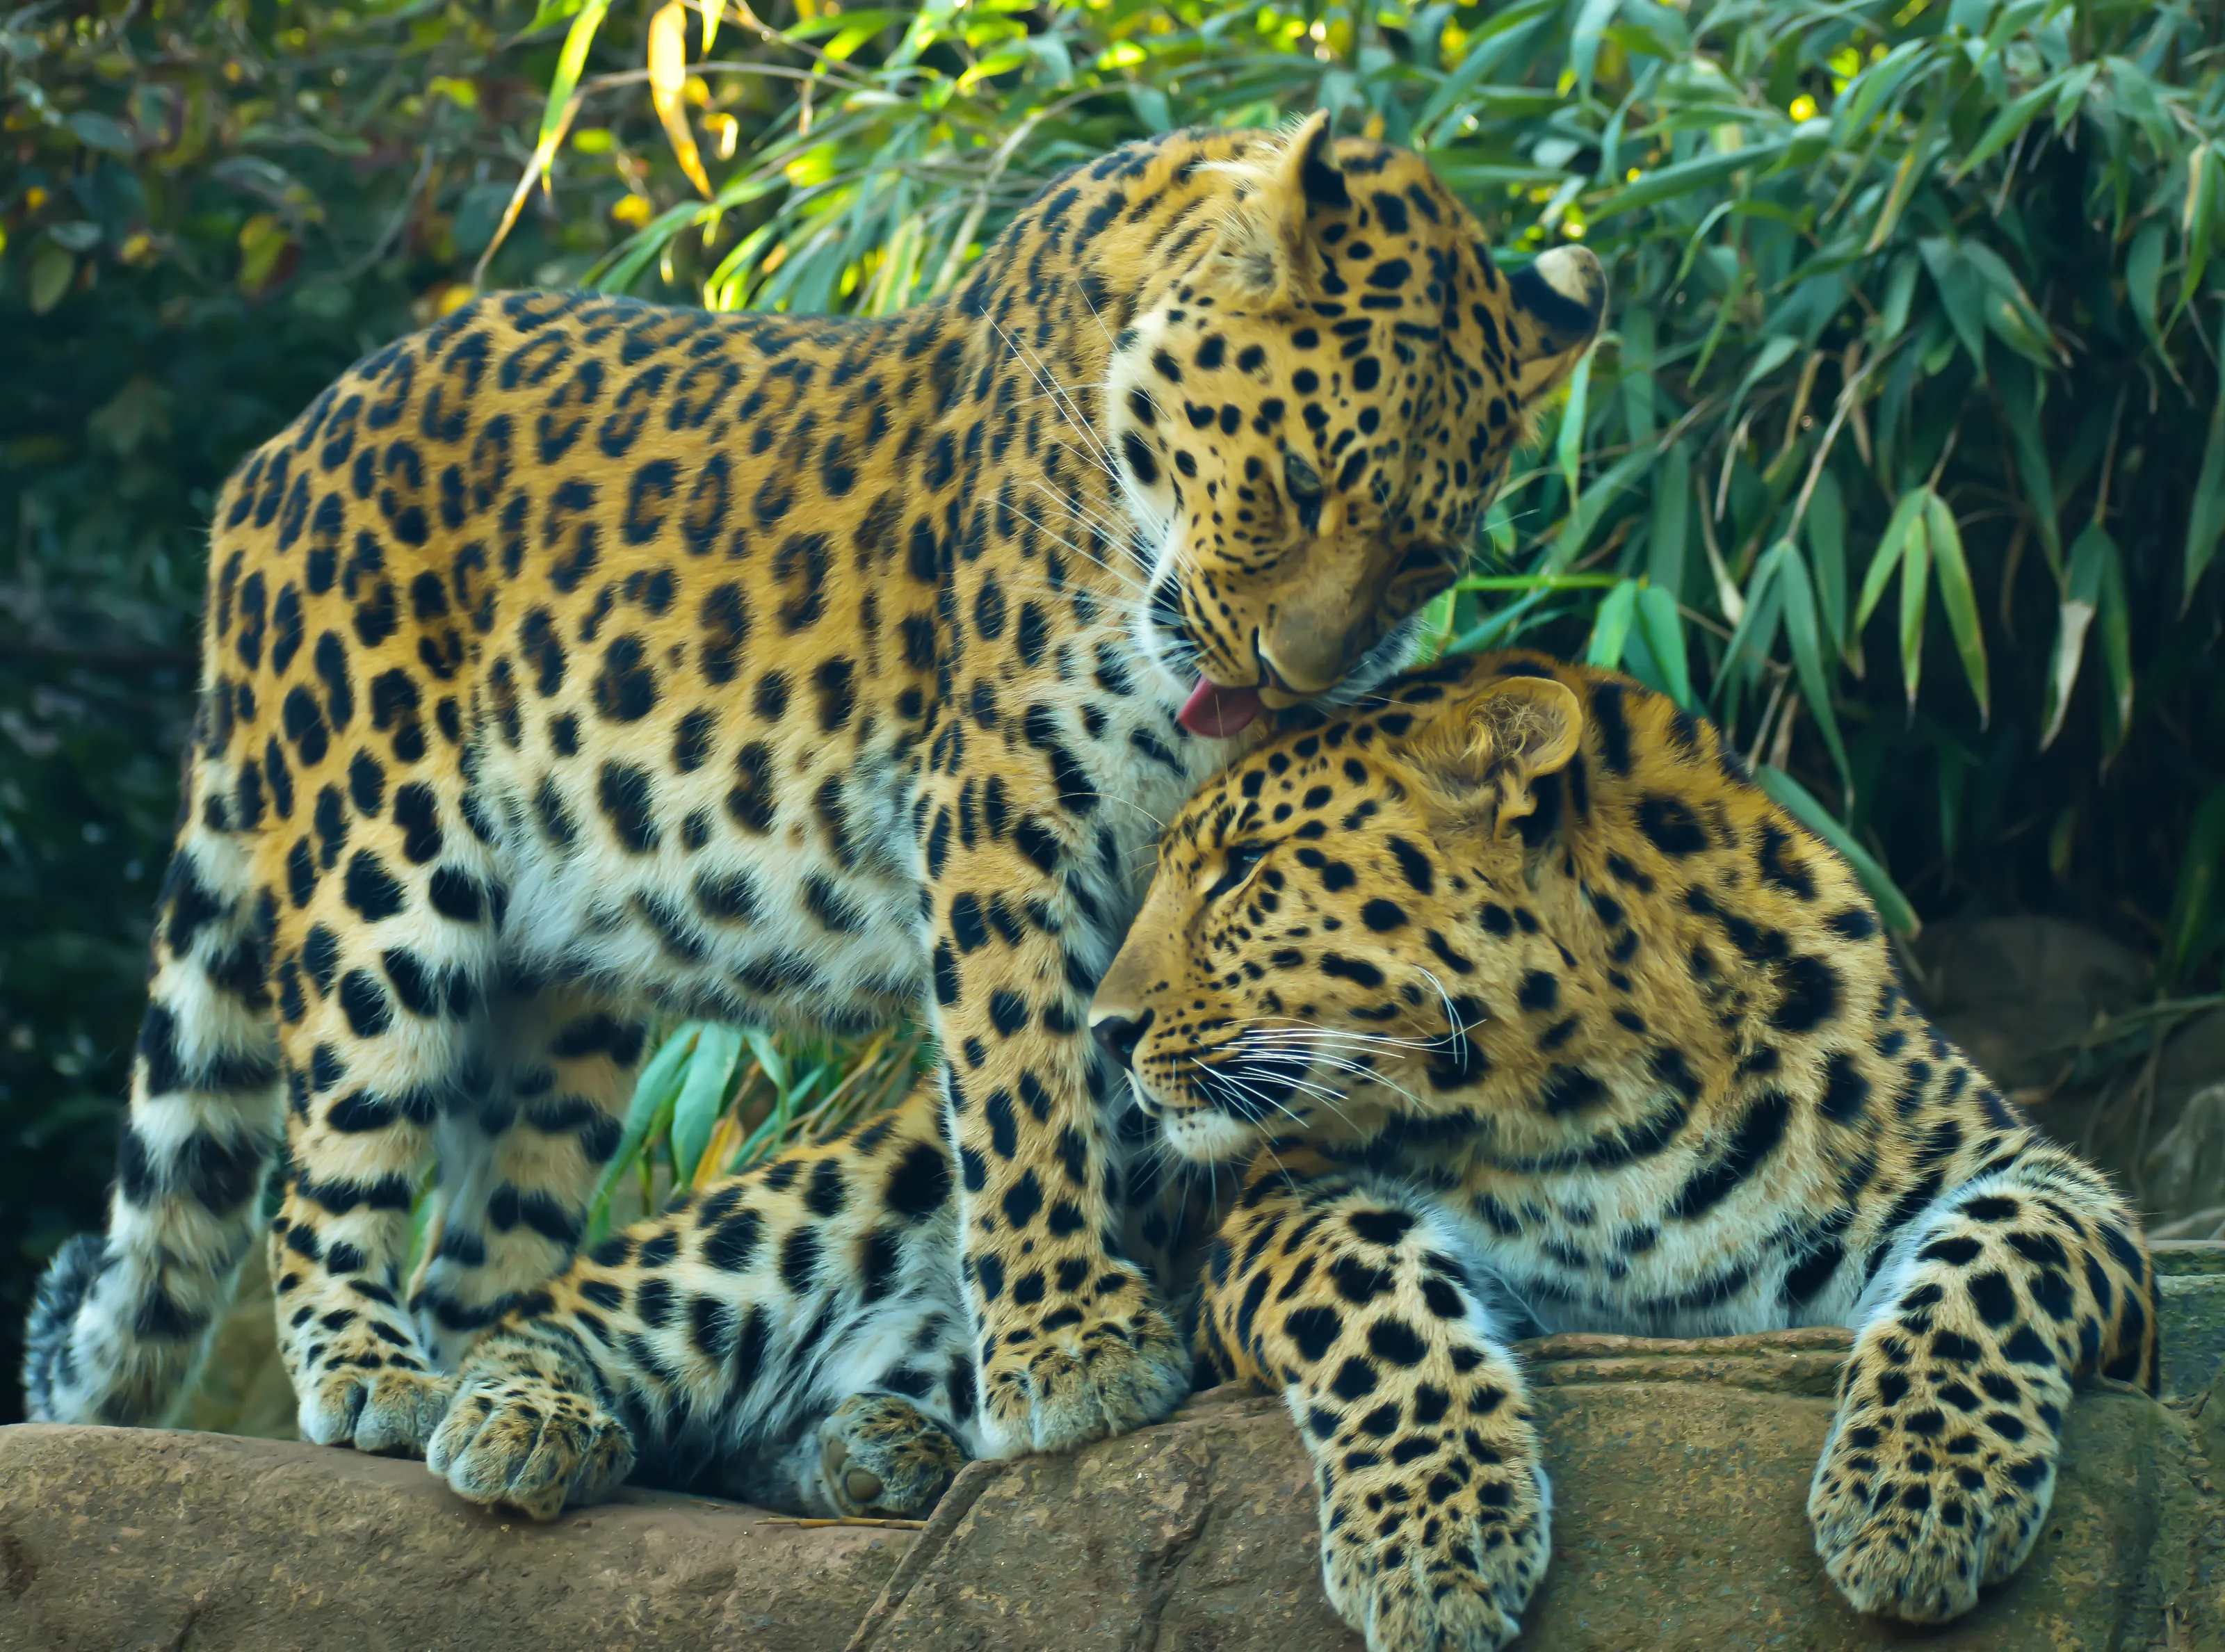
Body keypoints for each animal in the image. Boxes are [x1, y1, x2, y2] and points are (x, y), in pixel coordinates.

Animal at [21, 111, 1608, 1485]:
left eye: (1422, 561)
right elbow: (1025, 1082)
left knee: (488, 1245)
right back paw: (370, 1379)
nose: (1290, 679)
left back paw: (516, 1404)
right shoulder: (1004, 815)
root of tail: (272, 462)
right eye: (1293, 486)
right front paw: (1070, 1351)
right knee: (323, 1173)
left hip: (561, 990)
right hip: (381, 873)